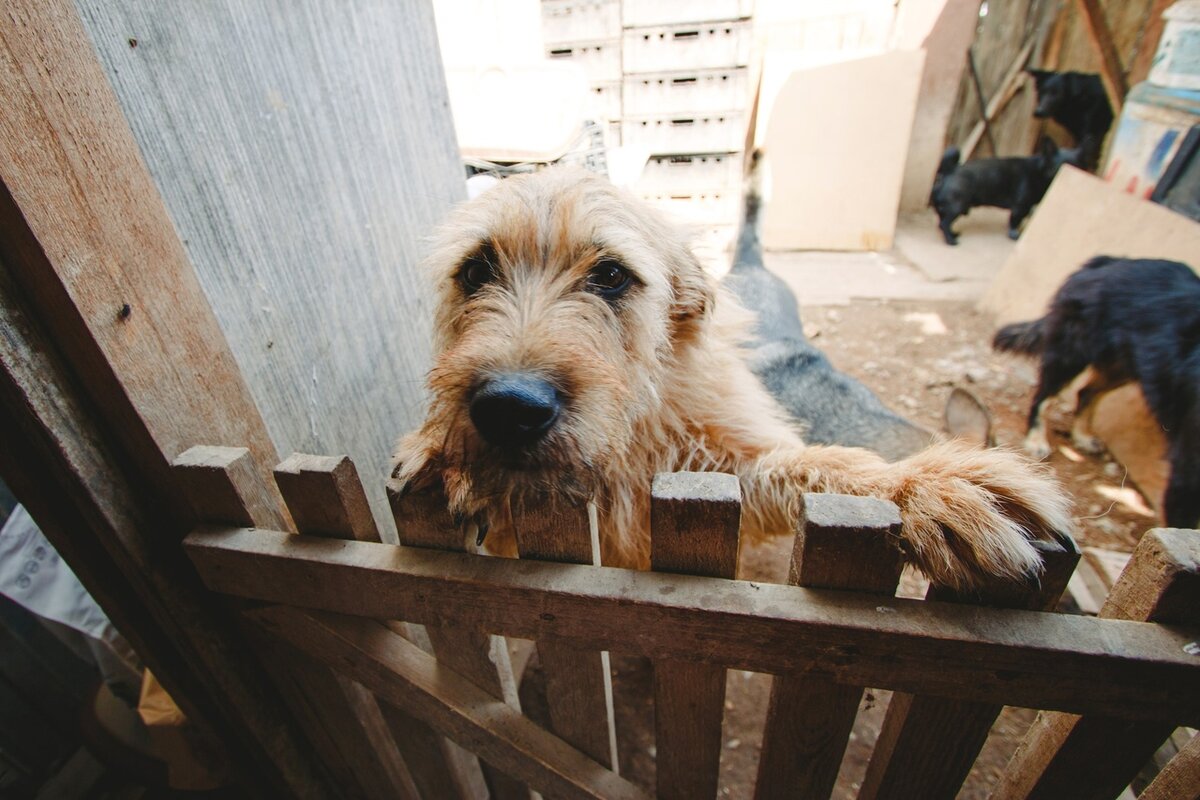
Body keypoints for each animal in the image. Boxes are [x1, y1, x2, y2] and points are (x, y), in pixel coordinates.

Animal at [926, 137, 1080, 245]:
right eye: (1062, 166)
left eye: (1080, 164)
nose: (1076, 173)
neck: (1040, 171)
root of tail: (951, 170)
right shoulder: (1020, 207)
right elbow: (1014, 222)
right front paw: (1014, 235)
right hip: (956, 207)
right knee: (945, 223)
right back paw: (950, 241)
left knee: (942, 222)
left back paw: (952, 234)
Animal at [993, 257, 1200, 532]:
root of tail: (1111, 260)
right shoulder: (1187, 472)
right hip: (1075, 350)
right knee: (1045, 395)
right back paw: (1036, 439)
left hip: (1120, 363)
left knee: (1086, 392)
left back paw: (1081, 436)